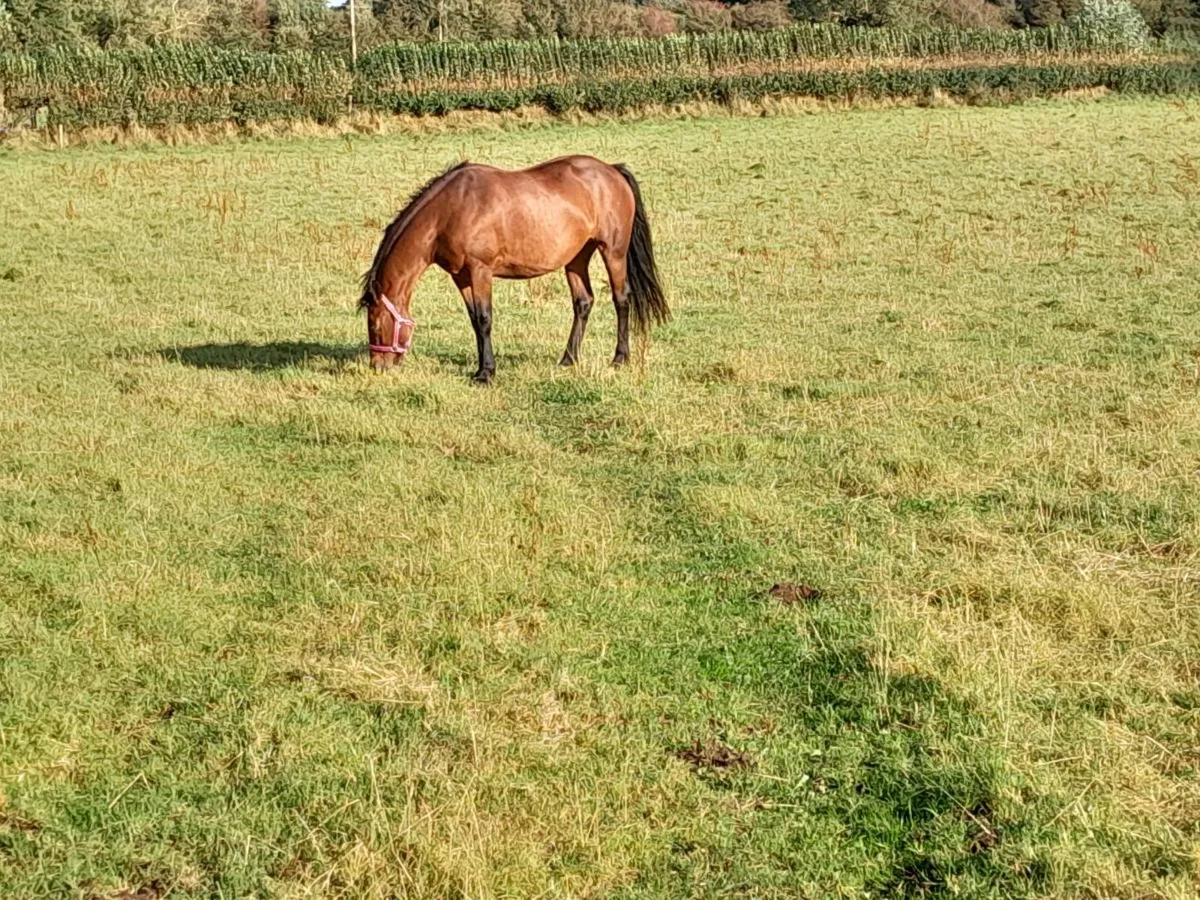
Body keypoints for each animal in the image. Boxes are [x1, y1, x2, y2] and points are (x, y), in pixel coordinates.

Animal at [359, 155, 670, 383]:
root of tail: (612, 171)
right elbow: (475, 321)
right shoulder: (462, 277)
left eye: (373, 324)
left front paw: (486, 373)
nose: (377, 366)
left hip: (613, 252)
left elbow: (485, 318)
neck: (451, 210)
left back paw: (620, 358)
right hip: (577, 257)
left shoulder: (480, 271)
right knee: (583, 302)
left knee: (621, 299)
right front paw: (481, 367)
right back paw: (568, 359)